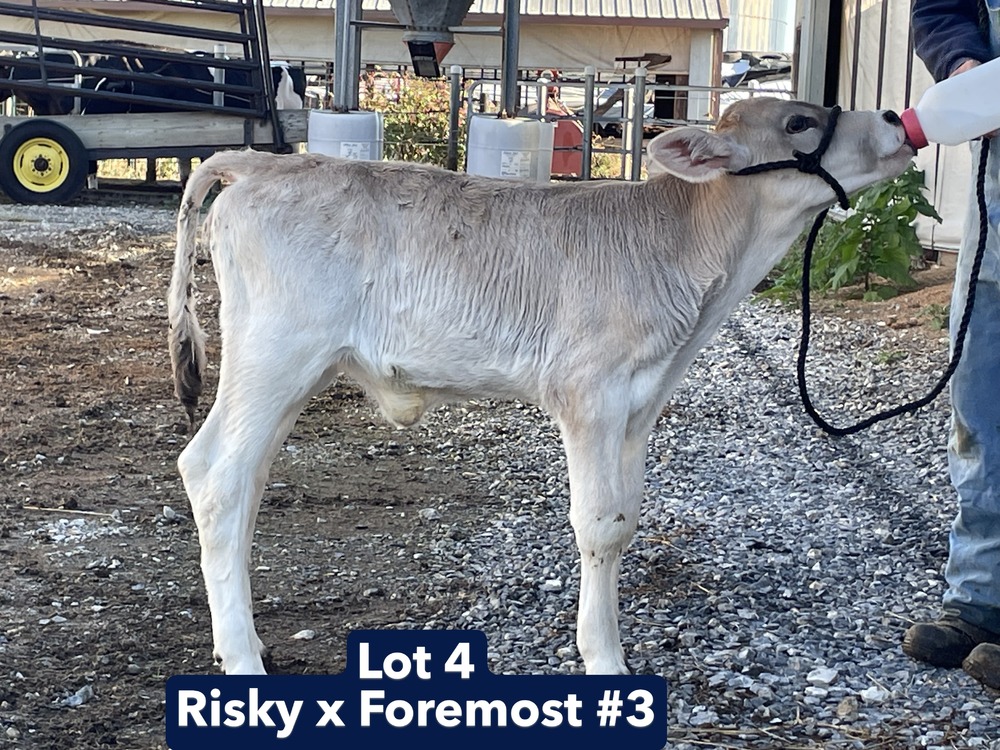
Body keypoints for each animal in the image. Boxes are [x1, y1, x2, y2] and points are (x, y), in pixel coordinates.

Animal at [167, 98, 915, 676]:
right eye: (797, 122)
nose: (892, 118)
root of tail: (266, 161)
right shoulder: (590, 392)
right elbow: (600, 523)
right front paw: (605, 656)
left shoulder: (639, 405)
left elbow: (626, 519)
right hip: (276, 352)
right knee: (215, 472)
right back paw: (243, 657)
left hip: (291, 370)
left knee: (248, 478)